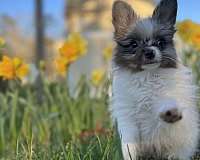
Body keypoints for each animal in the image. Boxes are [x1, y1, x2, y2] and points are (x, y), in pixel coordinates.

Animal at [111, 0, 198, 159]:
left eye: (160, 43)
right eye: (134, 44)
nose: (150, 52)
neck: (147, 75)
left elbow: (166, 105)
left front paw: (170, 113)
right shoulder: (128, 120)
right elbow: (129, 147)